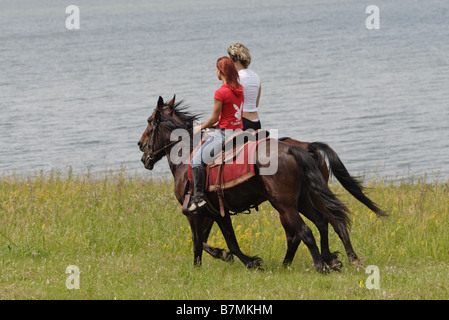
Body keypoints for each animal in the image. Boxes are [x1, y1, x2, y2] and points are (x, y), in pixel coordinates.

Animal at [137, 96, 384, 272]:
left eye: (149, 122)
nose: (140, 146)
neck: (186, 156)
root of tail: (297, 148)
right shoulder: (216, 212)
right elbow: (224, 241)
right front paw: (234, 257)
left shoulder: (193, 212)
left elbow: (200, 242)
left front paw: (203, 267)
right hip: (304, 199)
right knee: (326, 222)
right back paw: (333, 260)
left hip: (284, 204)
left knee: (303, 231)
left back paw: (319, 265)